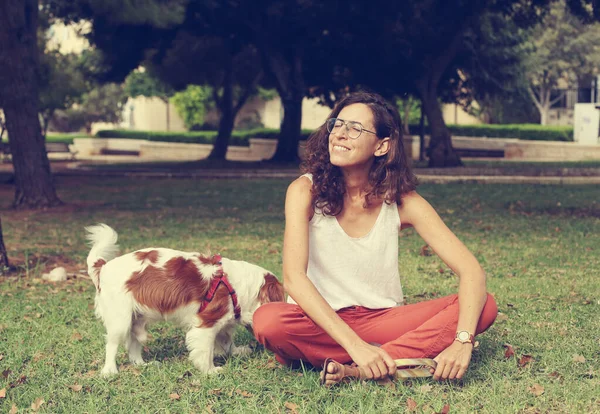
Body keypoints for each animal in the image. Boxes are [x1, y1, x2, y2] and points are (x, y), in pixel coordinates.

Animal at [85, 225, 284, 376]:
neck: (238, 287)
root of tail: (103, 267)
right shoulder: (207, 323)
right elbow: (206, 350)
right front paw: (210, 370)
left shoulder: (222, 322)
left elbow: (226, 340)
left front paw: (236, 351)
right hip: (120, 319)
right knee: (112, 344)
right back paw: (110, 371)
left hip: (137, 319)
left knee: (134, 343)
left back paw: (142, 364)